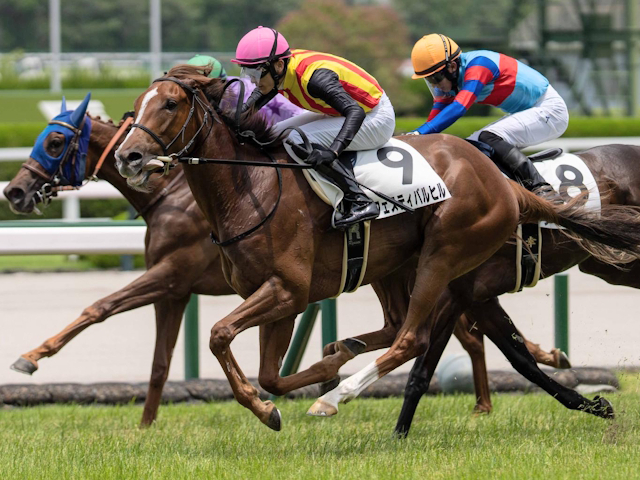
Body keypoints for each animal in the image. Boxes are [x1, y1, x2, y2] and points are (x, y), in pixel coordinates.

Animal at [3, 96, 569, 428]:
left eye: (56, 140)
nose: (15, 191)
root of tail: (503, 185)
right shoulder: (183, 289)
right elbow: (165, 363)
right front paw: (145, 427)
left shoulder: (184, 277)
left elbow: (103, 308)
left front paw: (31, 356)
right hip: (393, 268)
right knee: (437, 329)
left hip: (436, 260)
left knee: (435, 333)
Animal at [113, 65, 640, 430]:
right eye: (133, 107)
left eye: (169, 105)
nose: (128, 157)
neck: (253, 186)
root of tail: (507, 186)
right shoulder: (279, 298)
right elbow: (270, 376)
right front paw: (301, 384)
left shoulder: (287, 290)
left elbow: (220, 334)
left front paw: (291, 399)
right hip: (397, 267)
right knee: (397, 327)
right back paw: (340, 361)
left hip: (443, 254)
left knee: (410, 336)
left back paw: (334, 397)